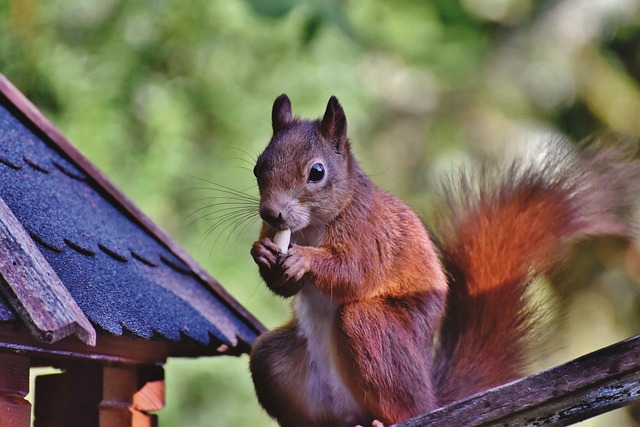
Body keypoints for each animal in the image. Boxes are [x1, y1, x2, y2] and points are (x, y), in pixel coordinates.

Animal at [248, 94, 632, 427]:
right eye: (257, 167)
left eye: (317, 172)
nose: (271, 213)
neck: (312, 226)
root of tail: (431, 397)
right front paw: (263, 253)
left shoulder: (371, 232)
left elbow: (357, 273)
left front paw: (303, 260)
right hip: (272, 359)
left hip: (376, 334)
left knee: (394, 388)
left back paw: (385, 421)